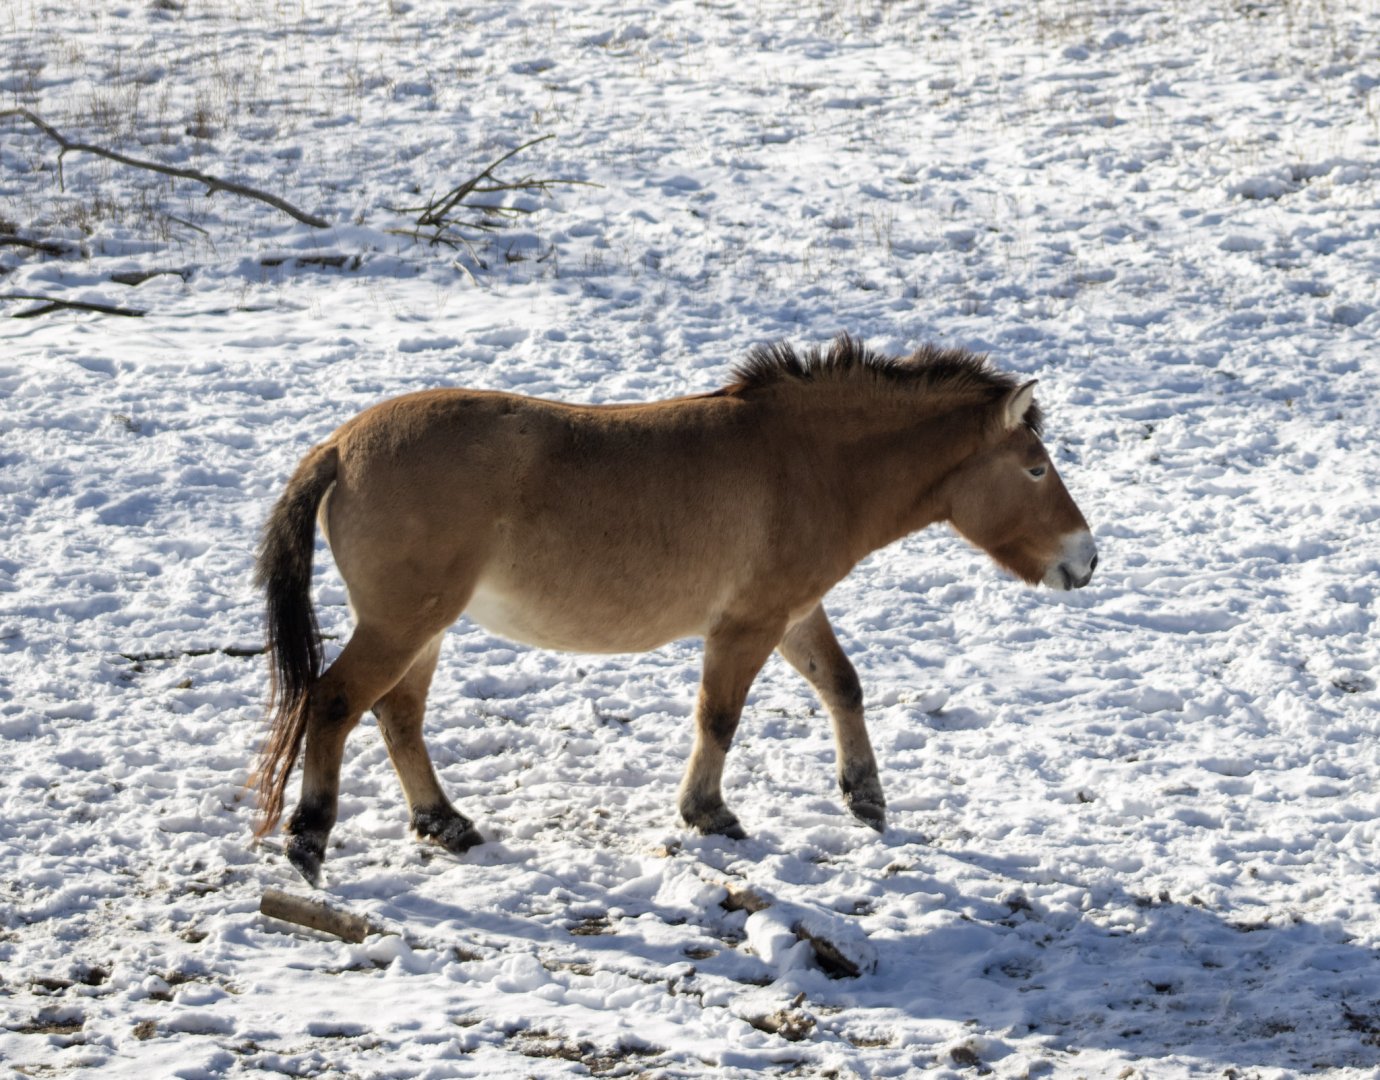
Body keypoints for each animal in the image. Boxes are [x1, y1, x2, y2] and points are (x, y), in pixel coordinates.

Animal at [251, 334, 1097, 884]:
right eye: (1035, 468)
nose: (1085, 560)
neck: (806, 462)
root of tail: (340, 446)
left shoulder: (793, 614)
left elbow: (842, 685)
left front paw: (865, 795)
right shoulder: (747, 625)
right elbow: (718, 717)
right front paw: (709, 813)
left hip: (422, 628)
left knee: (398, 715)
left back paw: (446, 823)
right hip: (402, 624)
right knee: (333, 702)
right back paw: (309, 839)